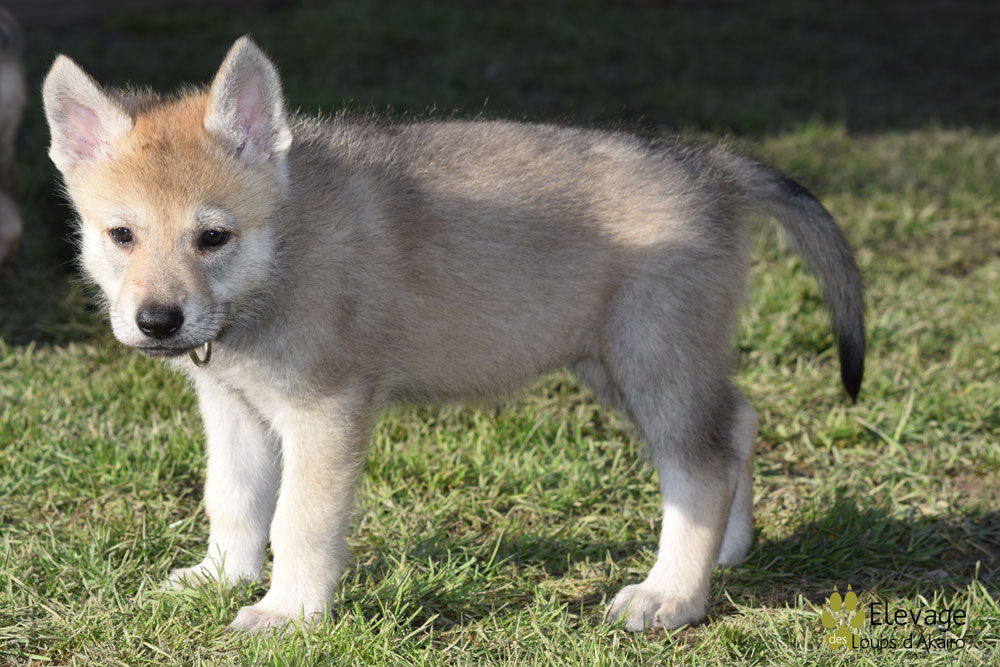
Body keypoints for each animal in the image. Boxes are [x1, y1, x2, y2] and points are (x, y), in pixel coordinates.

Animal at [42, 37, 864, 633]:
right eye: (120, 235)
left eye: (212, 236)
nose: (157, 322)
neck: (285, 252)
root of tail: (712, 167)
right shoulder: (235, 410)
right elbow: (235, 500)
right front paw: (219, 577)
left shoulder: (326, 413)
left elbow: (300, 520)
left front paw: (288, 613)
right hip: (621, 365)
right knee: (737, 424)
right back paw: (731, 548)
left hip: (652, 360)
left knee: (701, 466)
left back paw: (670, 596)